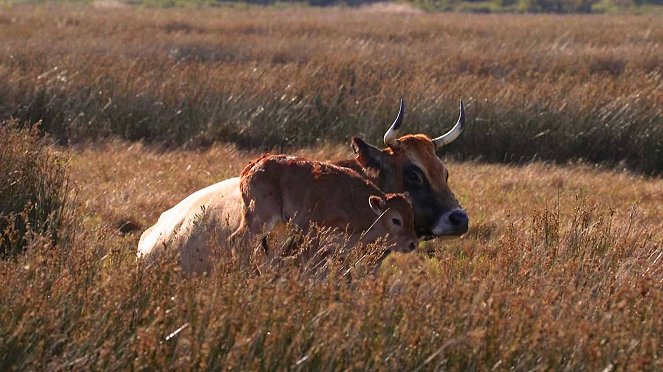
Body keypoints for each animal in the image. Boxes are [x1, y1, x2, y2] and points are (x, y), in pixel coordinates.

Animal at [233, 153, 420, 254]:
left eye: (412, 217)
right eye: (396, 220)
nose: (413, 244)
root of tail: (253, 165)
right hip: (259, 219)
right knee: (238, 240)